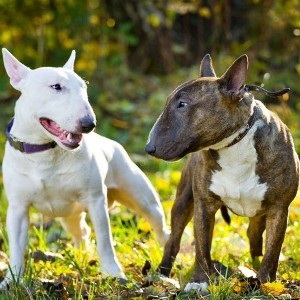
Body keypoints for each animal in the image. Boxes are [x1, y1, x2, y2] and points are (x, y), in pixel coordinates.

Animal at [0, 49, 169, 288]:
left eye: (84, 87)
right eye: (56, 87)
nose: (89, 124)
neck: (46, 153)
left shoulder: (96, 199)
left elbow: (105, 241)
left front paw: (114, 273)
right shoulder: (18, 208)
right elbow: (16, 247)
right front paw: (11, 281)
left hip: (143, 198)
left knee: (160, 226)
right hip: (68, 214)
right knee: (81, 231)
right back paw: (81, 256)